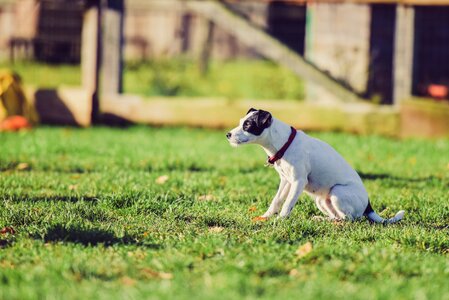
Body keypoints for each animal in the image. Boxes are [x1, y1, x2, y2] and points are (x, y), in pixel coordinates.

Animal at [226, 108, 404, 223]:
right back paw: (321, 219)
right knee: (338, 216)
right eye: (240, 122)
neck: (284, 143)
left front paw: (280, 220)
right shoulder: (286, 181)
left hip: (337, 192)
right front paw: (266, 217)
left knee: (349, 219)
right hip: (322, 200)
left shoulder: (298, 182)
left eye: (247, 125)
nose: (228, 134)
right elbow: (277, 200)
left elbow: (288, 203)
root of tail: (368, 206)